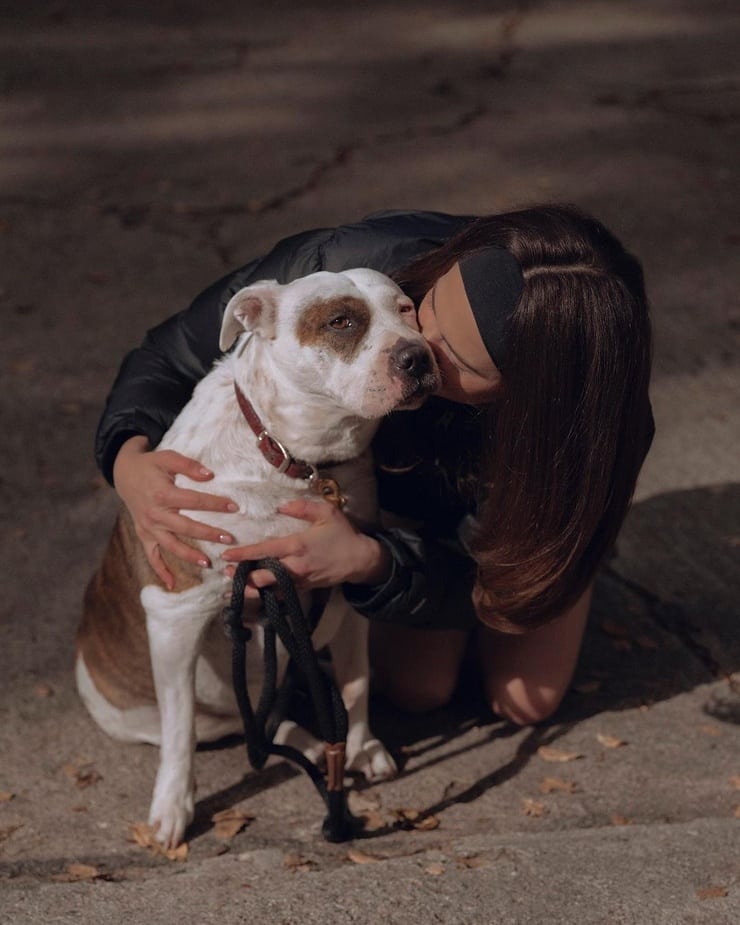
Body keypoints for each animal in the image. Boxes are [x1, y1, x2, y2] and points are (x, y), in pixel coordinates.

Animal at [73, 268, 440, 844]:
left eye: (406, 310)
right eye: (341, 321)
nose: (417, 357)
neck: (297, 458)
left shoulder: (350, 589)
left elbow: (356, 682)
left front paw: (358, 747)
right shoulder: (174, 611)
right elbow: (179, 731)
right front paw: (172, 807)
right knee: (215, 725)